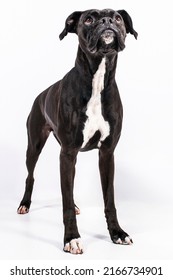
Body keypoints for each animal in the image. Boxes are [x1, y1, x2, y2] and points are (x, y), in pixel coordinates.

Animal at [16, 8, 137, 254]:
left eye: (118, 18)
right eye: (88, 19)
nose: (107, 21)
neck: (97, 81)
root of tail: (40, 95)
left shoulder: (107, 154)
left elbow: (109, 200)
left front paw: (117, 233)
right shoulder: (68, 153)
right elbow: (66, 204)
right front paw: (71, 238)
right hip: (33, 147)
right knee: (30, 177)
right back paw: (25, 204)